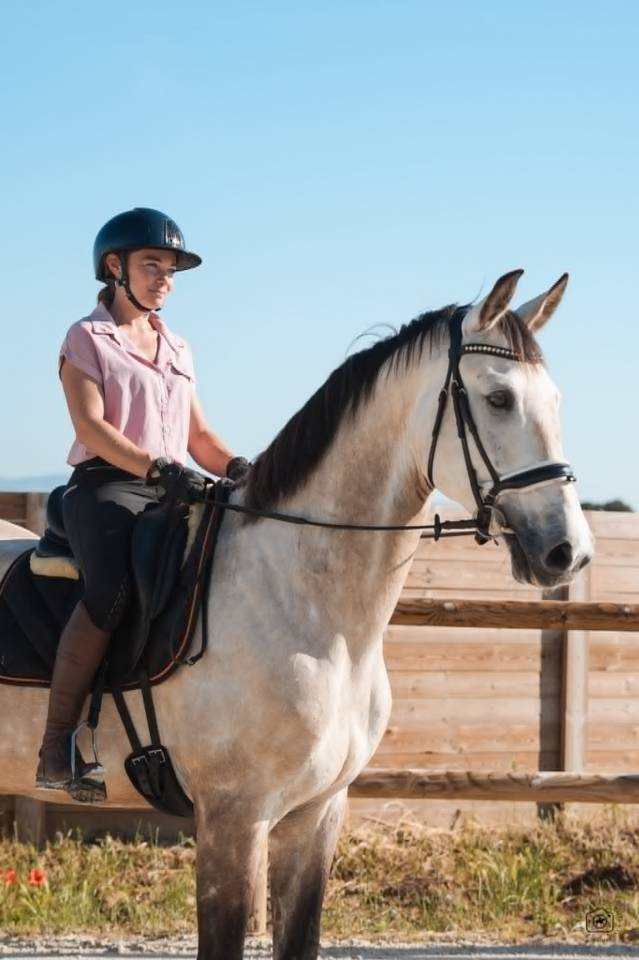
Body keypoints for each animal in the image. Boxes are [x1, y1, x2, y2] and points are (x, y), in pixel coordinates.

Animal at [0, 270, 593, 959]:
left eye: (556, 401)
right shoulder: (234, 817)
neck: (313, 612)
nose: (568, 552)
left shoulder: (316, 816)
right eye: (499, 399)